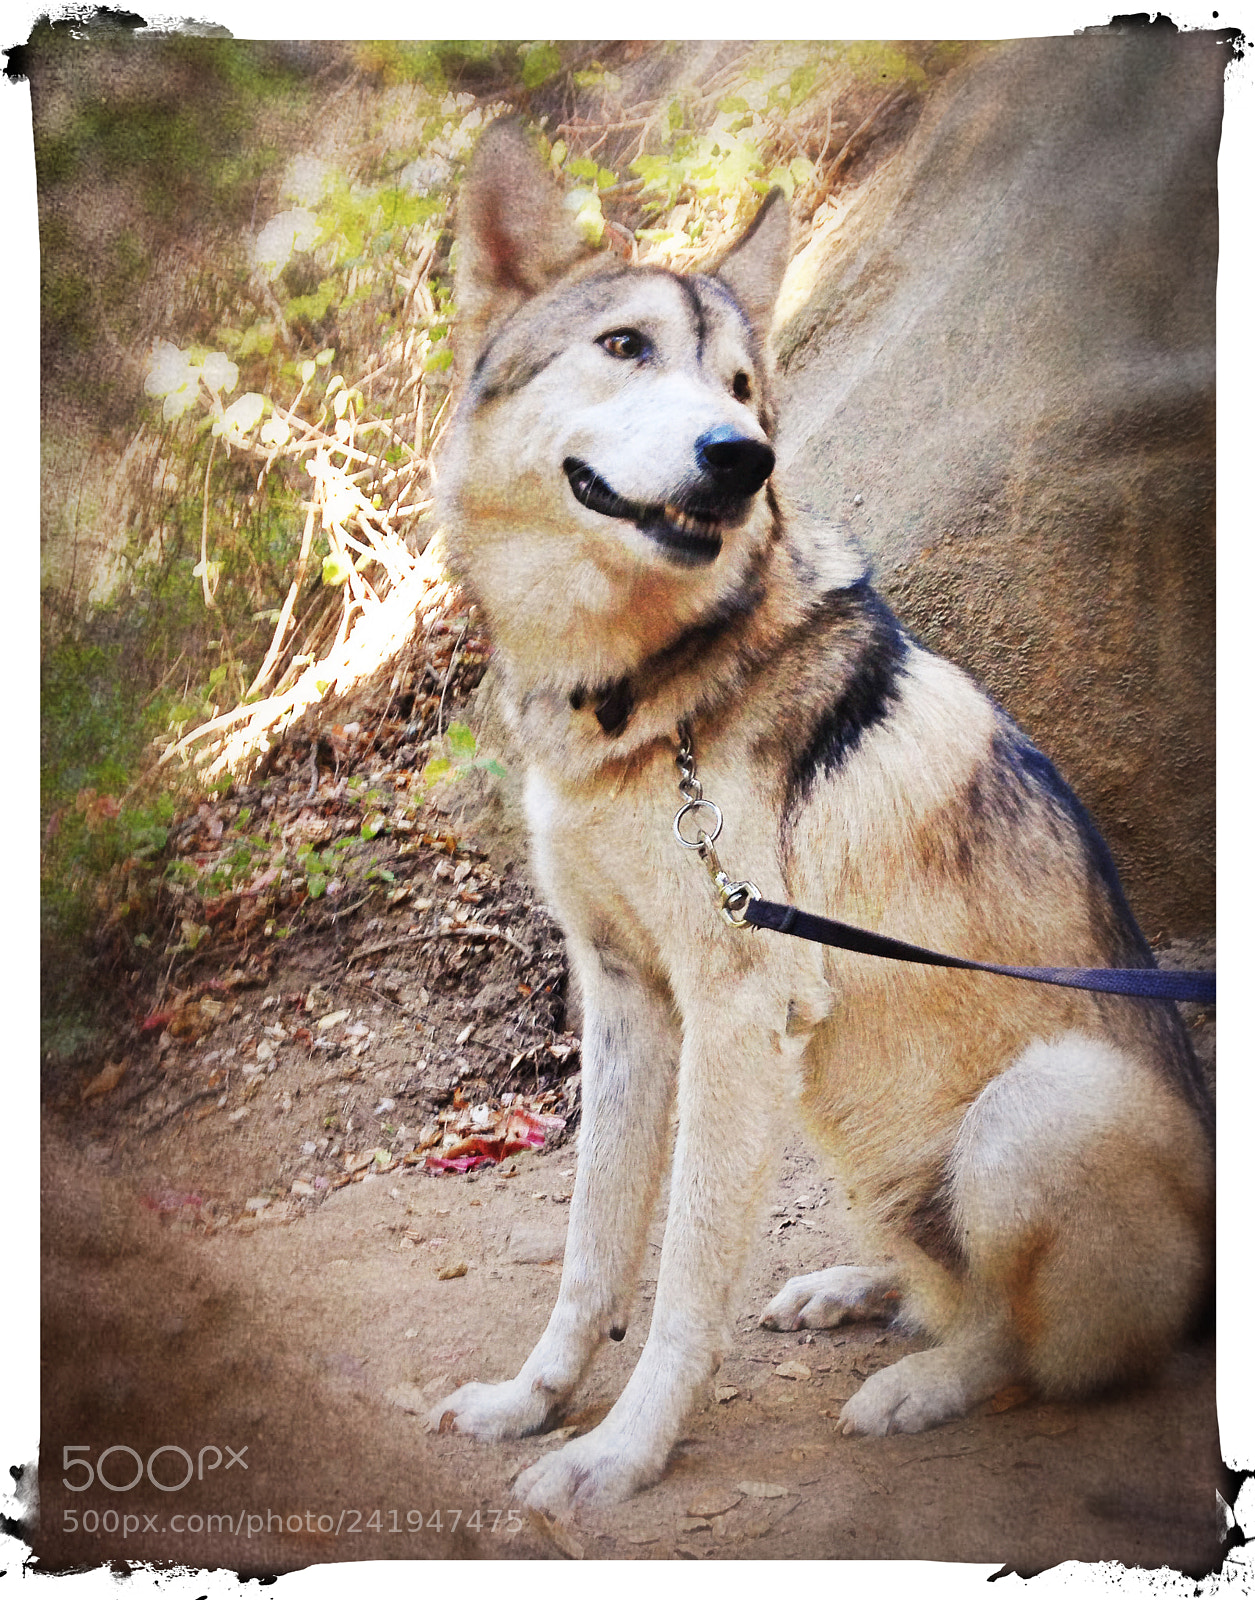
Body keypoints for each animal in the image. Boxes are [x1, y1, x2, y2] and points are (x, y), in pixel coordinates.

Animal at [429, 120, 1214, 1516]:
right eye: (623, 346)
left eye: (742, 388)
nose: (741, 459)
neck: (638, 697)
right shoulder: (624, 997)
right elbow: (590, 1252)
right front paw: (533, 1402)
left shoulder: (734, 1011)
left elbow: (683, 1276)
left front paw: (621, 1451)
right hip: (856, 1140)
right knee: (946, 1289)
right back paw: (858, 1292)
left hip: (1031, 1107)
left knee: (1032, 1349)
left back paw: (920, 1385)